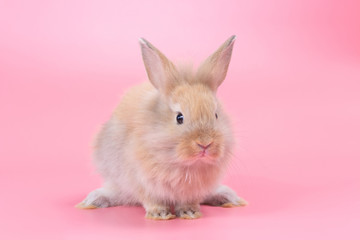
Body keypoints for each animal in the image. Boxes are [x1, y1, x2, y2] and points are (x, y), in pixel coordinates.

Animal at [76, 35, 248, 219]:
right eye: (179, 118)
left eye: (216, 115)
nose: (205, 143)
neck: (185, 164)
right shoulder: (142, 182)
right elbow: (152, 200)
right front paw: (160, 214)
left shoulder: (194, 190)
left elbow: (189, 201)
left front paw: (190, 212)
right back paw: (93, 200)